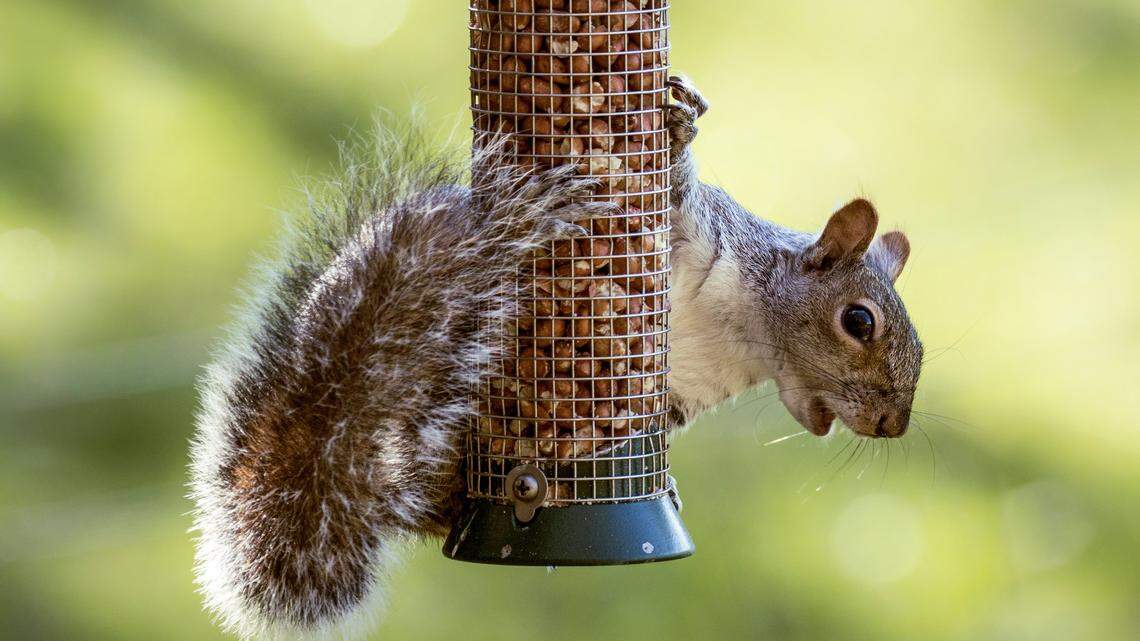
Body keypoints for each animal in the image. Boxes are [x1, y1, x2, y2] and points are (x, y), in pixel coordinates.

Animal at [189, 76, 922, 640]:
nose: (893, 426)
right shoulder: (689, 229)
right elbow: (673, 185)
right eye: (859, 320)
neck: (744, 334)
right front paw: (678, 125)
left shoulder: (680, 391)